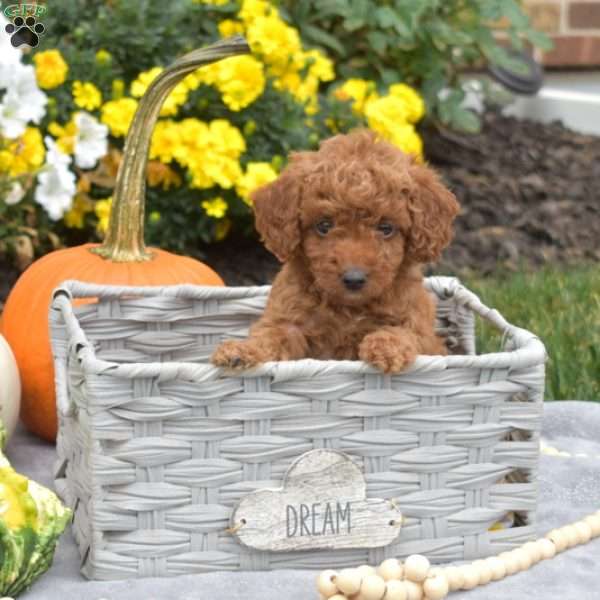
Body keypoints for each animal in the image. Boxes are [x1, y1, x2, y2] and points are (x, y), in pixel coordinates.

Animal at [213, 131, 462, 372]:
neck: (348, 308)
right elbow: (270, 335)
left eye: (386, 228)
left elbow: (406, 333)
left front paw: (386, 348)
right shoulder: (287, 321)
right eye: (324, 225)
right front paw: (241, 350)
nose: (354, 279)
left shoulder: (422, 330)